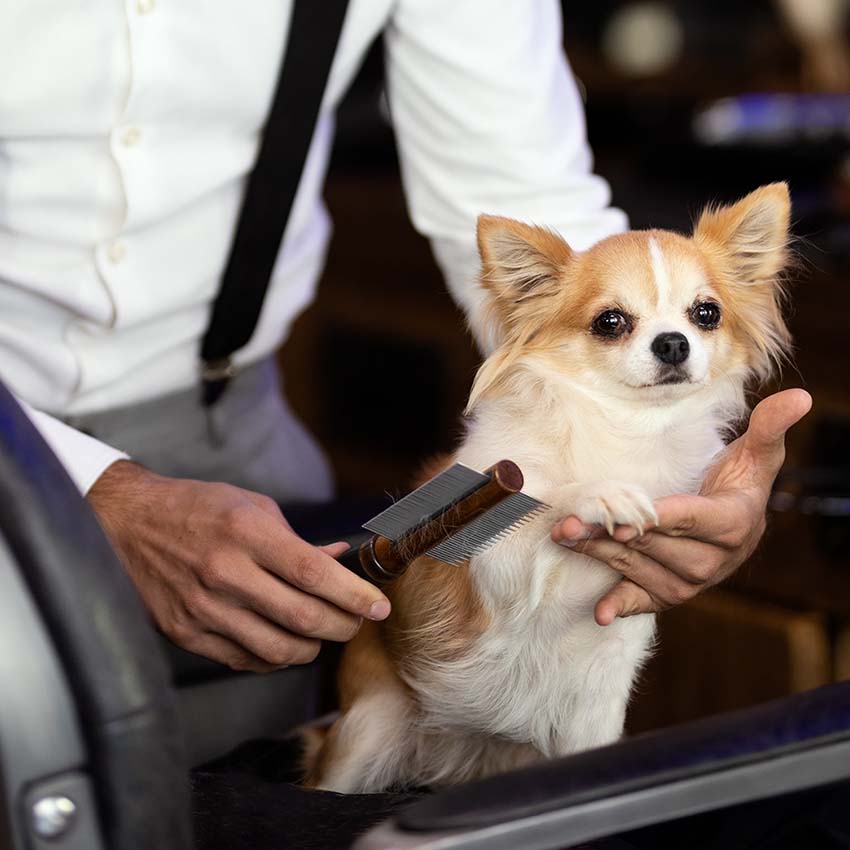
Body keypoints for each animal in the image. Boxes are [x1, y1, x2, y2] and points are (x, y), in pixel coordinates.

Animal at [304, 182, 788, 792]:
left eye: (707, 314)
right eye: (610, 321)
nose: (674, 342)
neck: (622, 430)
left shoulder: (604, 681)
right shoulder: (495, 565)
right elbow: (543, 496)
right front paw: (600, 494)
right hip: (369, 726)